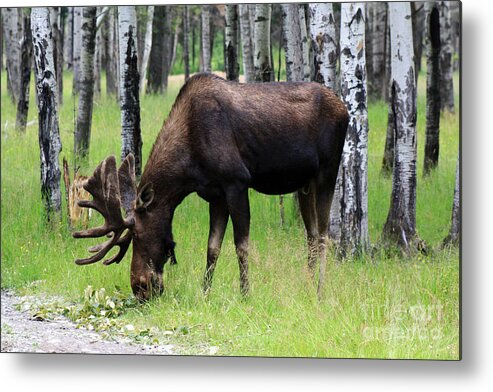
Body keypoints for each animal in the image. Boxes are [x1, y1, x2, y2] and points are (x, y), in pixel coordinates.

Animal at [74, 72, 350, 300]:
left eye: (137, 235)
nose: (140, 288)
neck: (187, 169)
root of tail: (345, 110)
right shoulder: (215, 194)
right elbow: (212, 246)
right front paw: (205, 293)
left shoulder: (237, 182)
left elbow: (241, 245)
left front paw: (245, 295)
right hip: (304, 184)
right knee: (311, 235)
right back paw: (307, 287)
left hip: (327, 171)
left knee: (324, 234)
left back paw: (319, 291)